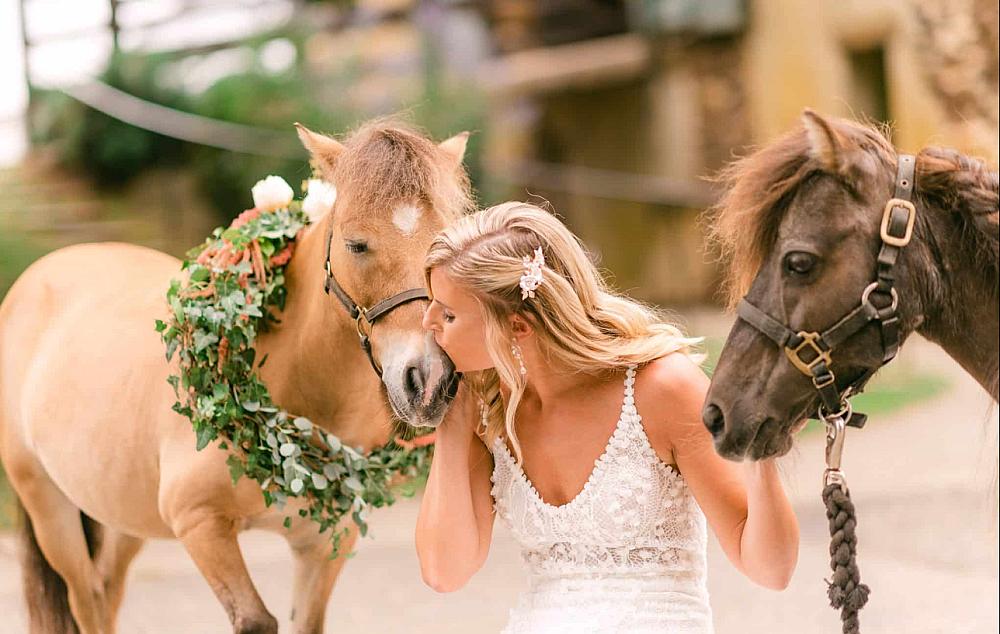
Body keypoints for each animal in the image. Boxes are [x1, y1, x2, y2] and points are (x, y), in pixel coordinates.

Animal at [0, 120, 472, 633]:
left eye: (445, 246)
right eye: (356, 244)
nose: (429, 381)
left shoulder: (326, 543)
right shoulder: (200, 525)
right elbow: (256, 621)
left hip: (123, 512)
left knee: (106, 591)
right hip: (47, 503)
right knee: (86, 596)